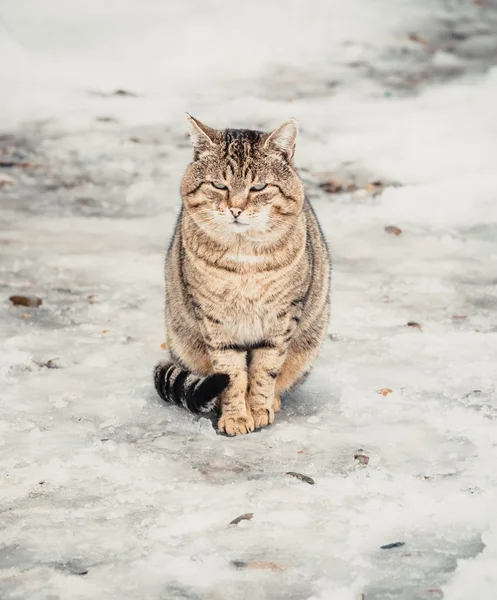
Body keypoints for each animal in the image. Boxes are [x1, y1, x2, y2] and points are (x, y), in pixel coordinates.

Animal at [151, 115, 330, 436]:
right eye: (218, 185)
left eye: (258, 187)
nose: (235, 209)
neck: (244, 260)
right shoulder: (214, 318)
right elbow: (231, 372)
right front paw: (235, 415)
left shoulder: (283, 315)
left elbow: (265, 368)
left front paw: (258, 408)